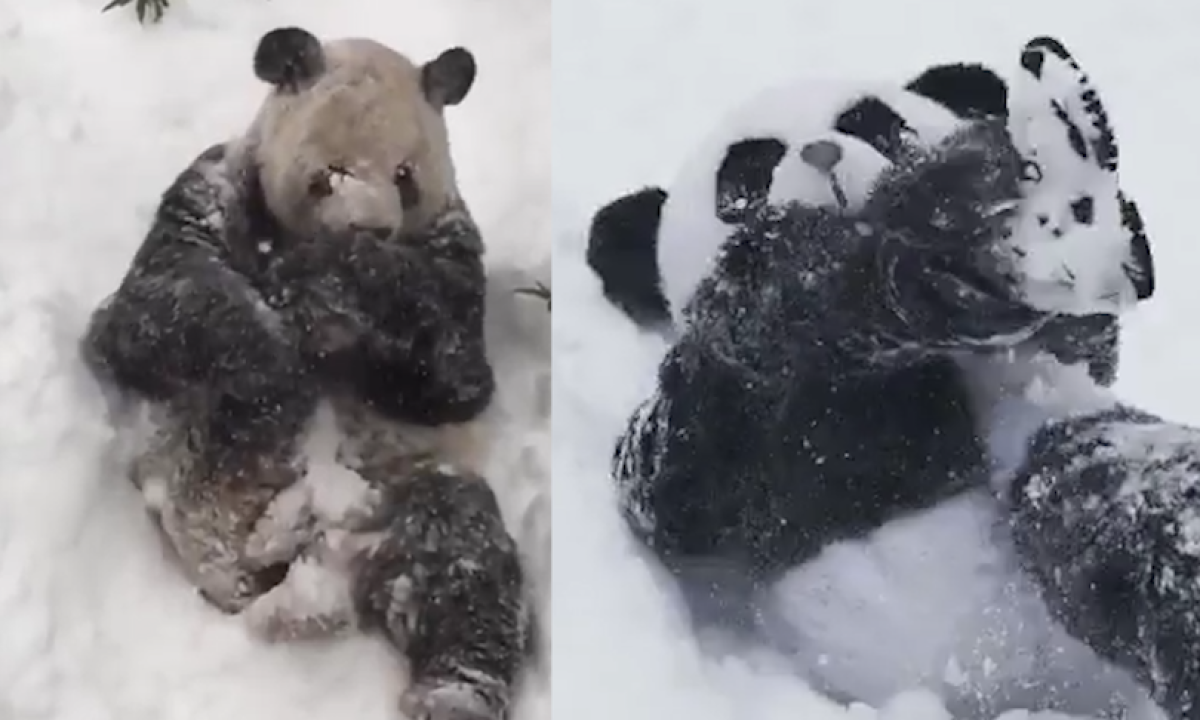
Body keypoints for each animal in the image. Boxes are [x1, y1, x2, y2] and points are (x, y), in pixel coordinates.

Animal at [82, 26, 529, 720]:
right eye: (330, 172)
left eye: (405, 176)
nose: (371, 225)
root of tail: (326, 571)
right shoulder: (208, 195)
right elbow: (149, 309)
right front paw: (274, 365)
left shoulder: (452, 246)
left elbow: (454, 378)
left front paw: (334, 278)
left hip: (405, 486)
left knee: (465, 556)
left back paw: (454, 693)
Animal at [596, 36, 1200, 720]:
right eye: (744, 176)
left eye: (872, 123)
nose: (821, 152)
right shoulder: (733, 447)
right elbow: (668, 475)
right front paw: (825, 270)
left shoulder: (1054, 351)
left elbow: (1085, 341)